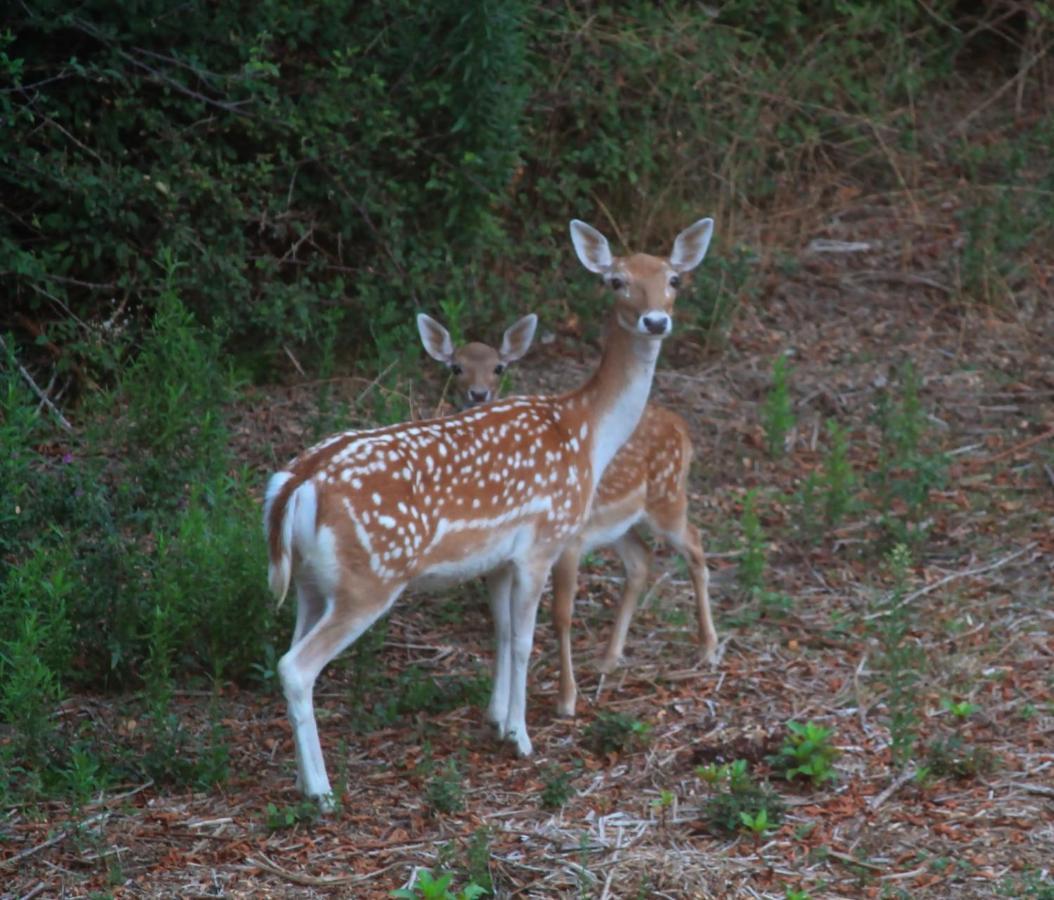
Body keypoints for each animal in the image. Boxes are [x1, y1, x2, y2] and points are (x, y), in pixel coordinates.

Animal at [415, 311, 720, 720]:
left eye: (498, 367)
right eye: (455, 367)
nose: (477, 395)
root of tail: (681, 426)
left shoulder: (568, 544)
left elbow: (559, 616)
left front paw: (565, 700)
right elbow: (506, 624)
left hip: (667, 497)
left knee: (695, 543)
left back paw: (707, 648)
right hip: (619, 523)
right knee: (641, 559)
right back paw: (609, 659)